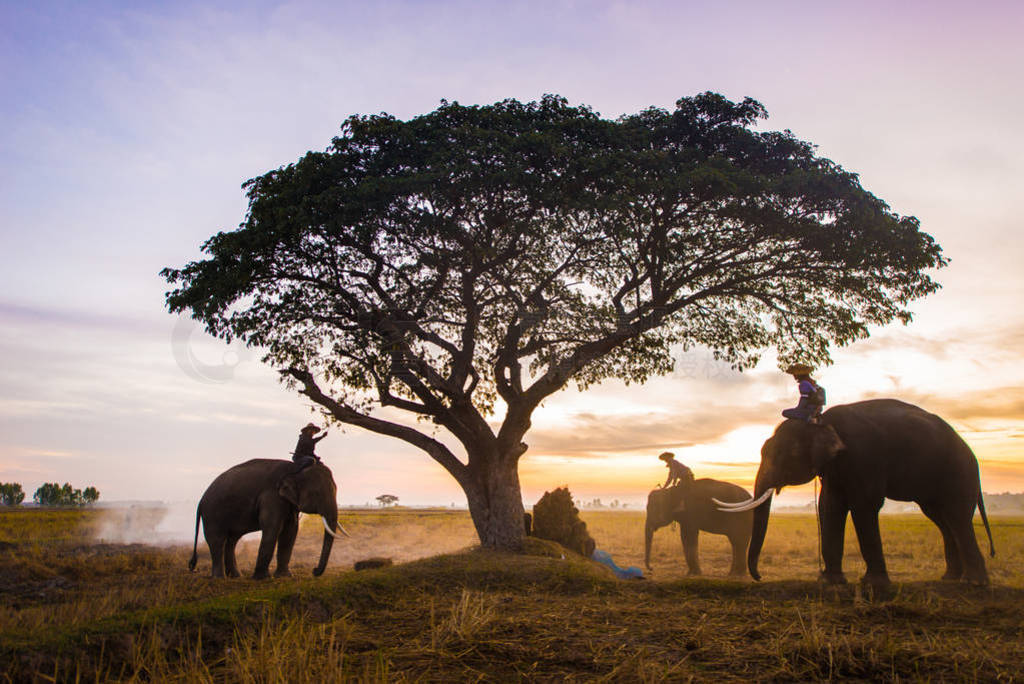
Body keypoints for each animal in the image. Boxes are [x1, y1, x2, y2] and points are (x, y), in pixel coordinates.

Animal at [184, 458, 344, 577]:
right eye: (316, 494)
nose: (314, 570)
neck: (295, 469)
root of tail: (201, 501)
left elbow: (290, 531)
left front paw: (284, 576)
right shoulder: (272, 496)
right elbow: (273, 528)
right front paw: (262, 578)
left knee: (231, 541)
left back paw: (236, 576)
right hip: (212, 514)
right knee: (217, 541)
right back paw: (219, 578)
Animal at [716, 397, 995, 589]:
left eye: (784, 455)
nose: (759, 576)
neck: (821, 421)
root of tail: (972, 454)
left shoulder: (865, 456)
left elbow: (863, 505)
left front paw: (873, 584)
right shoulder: (835, 468)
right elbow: (830, 507)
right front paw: (831, 582)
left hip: (958, 473)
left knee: (956, 518)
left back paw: (975, 583)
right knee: (942, 520)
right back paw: (950, 579)